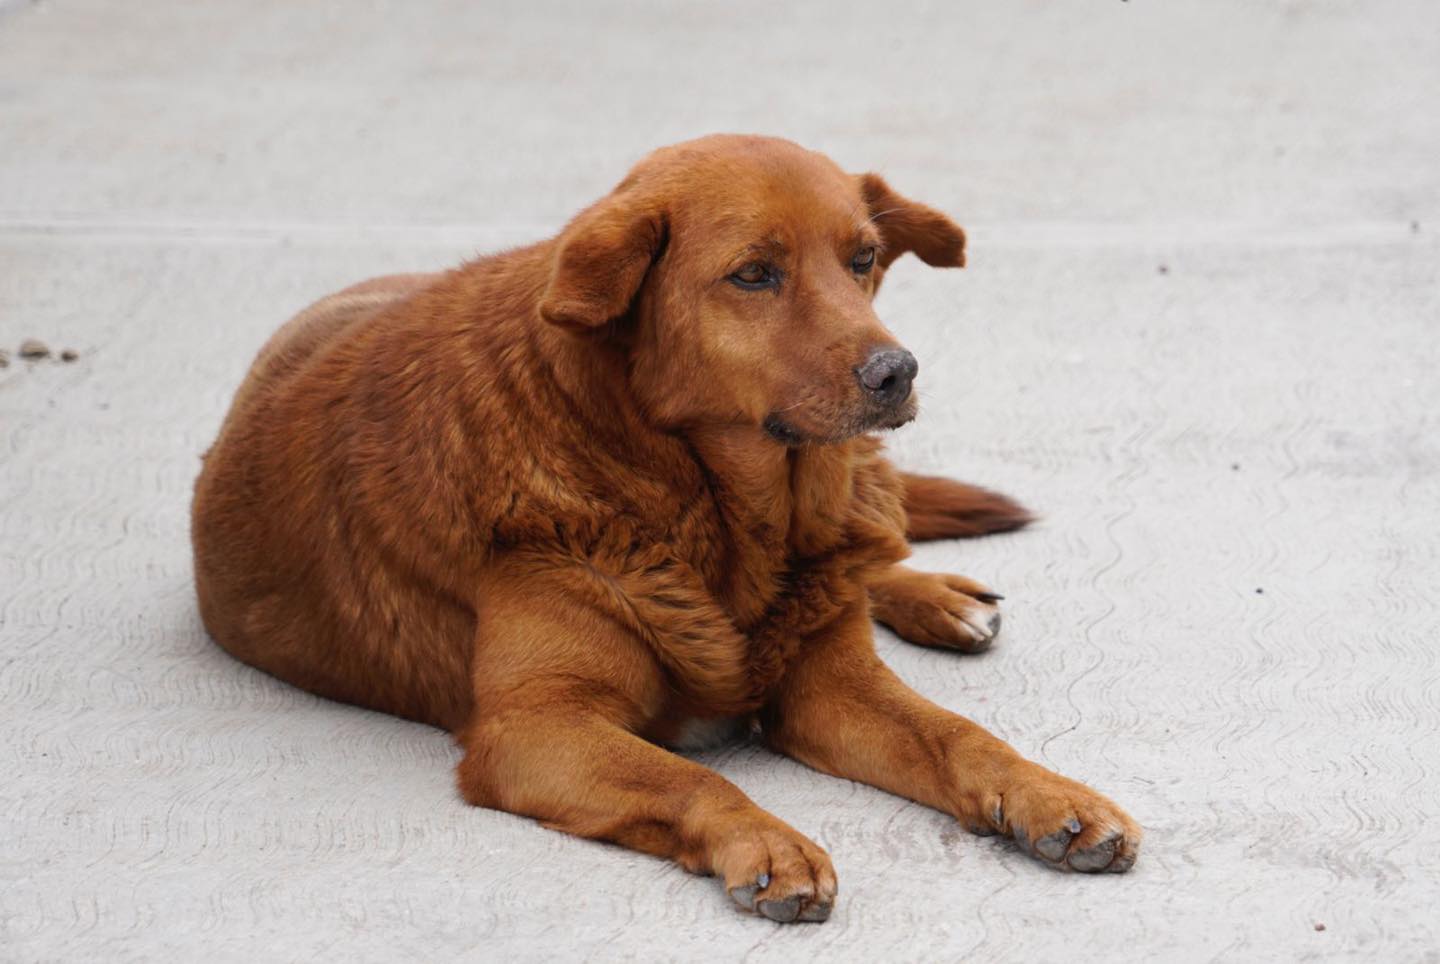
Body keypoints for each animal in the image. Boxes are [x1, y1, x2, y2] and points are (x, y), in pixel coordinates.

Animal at [191, 131, 1140, 922]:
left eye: (864, 259)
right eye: (753, 274)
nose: (896, 371)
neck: (718, 506)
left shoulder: (831, 683)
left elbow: (959, 735)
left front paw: (1050, 795)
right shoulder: (534, 727)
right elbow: (686, 775)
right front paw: (766, 839)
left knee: (872, 549)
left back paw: (934, 595)